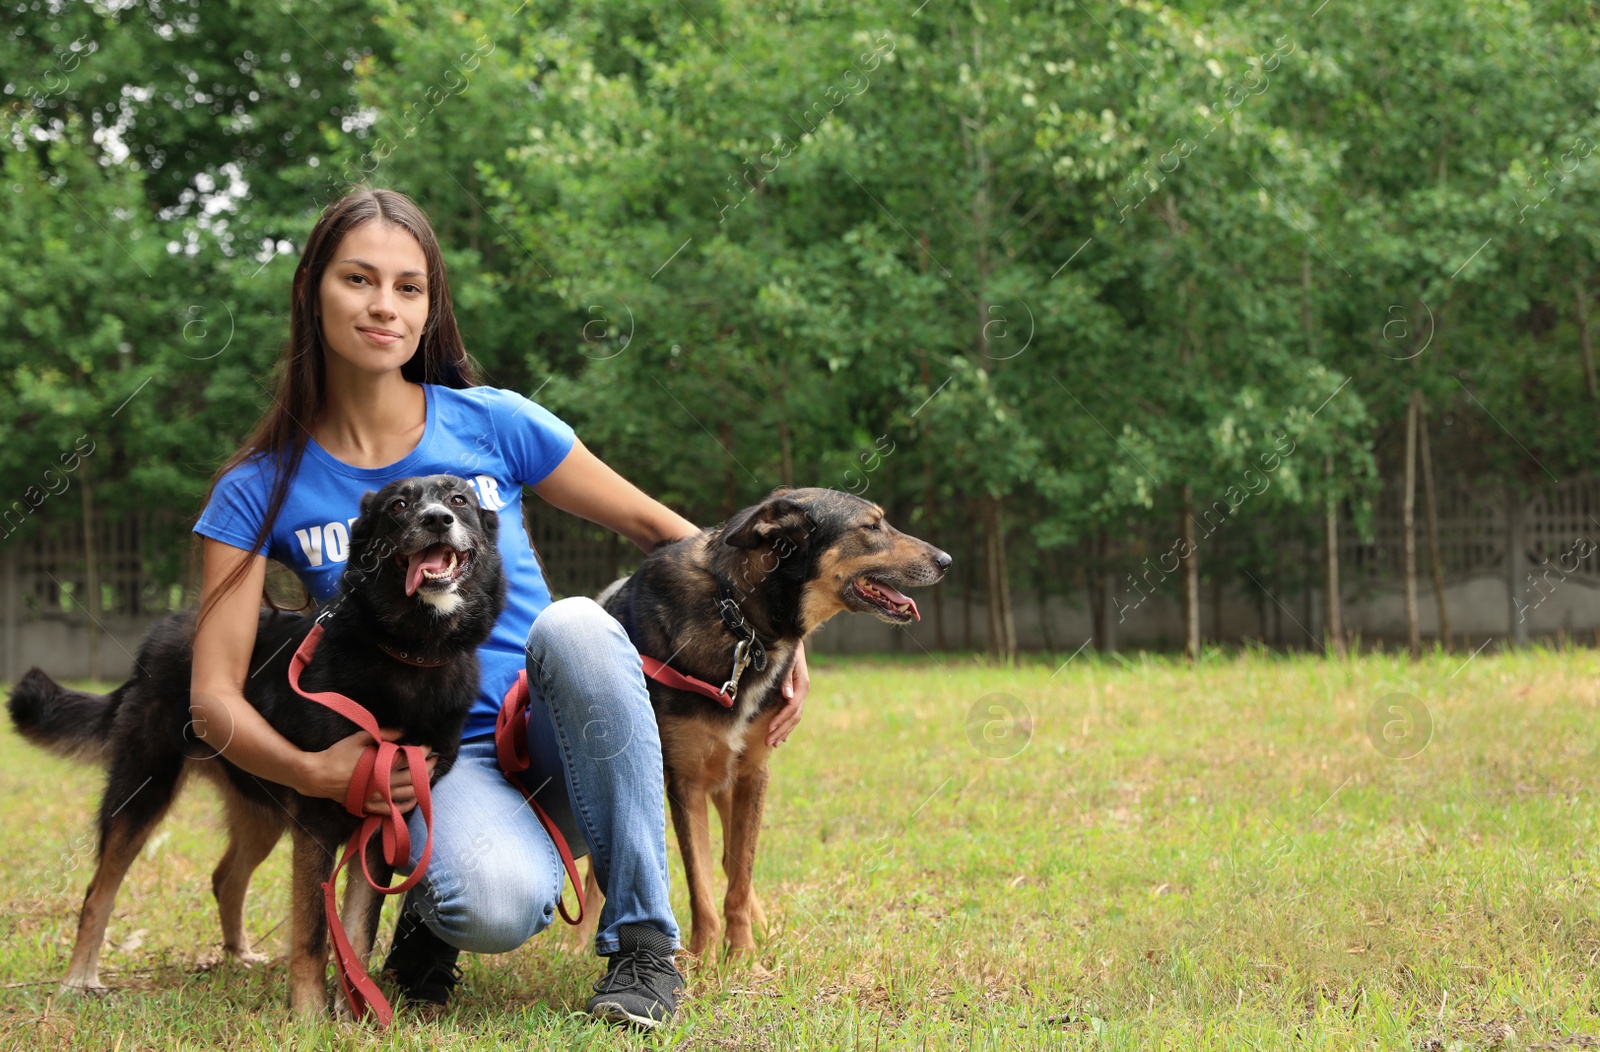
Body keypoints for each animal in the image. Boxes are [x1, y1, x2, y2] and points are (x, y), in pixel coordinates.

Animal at [7, 473, 505, 1010]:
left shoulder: (381, 823)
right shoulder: (318, 817)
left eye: (460, 499)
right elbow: (312, 932)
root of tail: (158, 637)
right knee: (98, 891)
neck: (407, 653)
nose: (437, 519)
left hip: (261, 807)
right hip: (143, 790)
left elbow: (358, 934)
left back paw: (238, 956)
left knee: (225, 878)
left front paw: (355, 1012)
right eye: (398, 505)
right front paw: (309, 1014)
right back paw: (78, 980)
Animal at [585, 486, 947, 959]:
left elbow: (739, 879)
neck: (742, 624)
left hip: (728, 779)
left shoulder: (754, 773)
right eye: (871, 526)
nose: (947, 560)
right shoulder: (684, 781)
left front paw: (743, 957)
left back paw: (763, 926)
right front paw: (704, 960)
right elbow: (700, 885)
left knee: (732, 860)